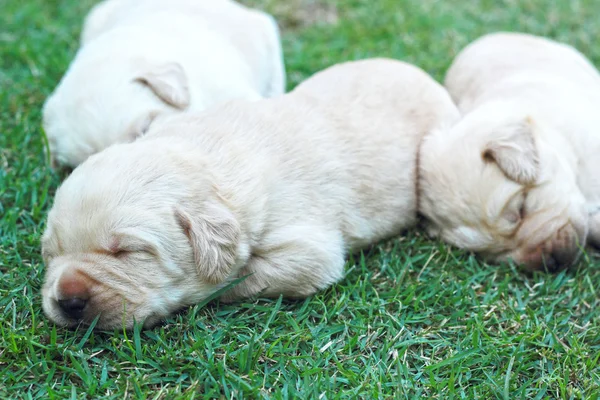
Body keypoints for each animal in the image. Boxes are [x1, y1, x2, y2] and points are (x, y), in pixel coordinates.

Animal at [41, 58, 460, 328]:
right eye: (51, 252)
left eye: (127, 252)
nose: (67, 301)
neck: (208, 159)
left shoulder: (310, 250)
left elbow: (240, 277)